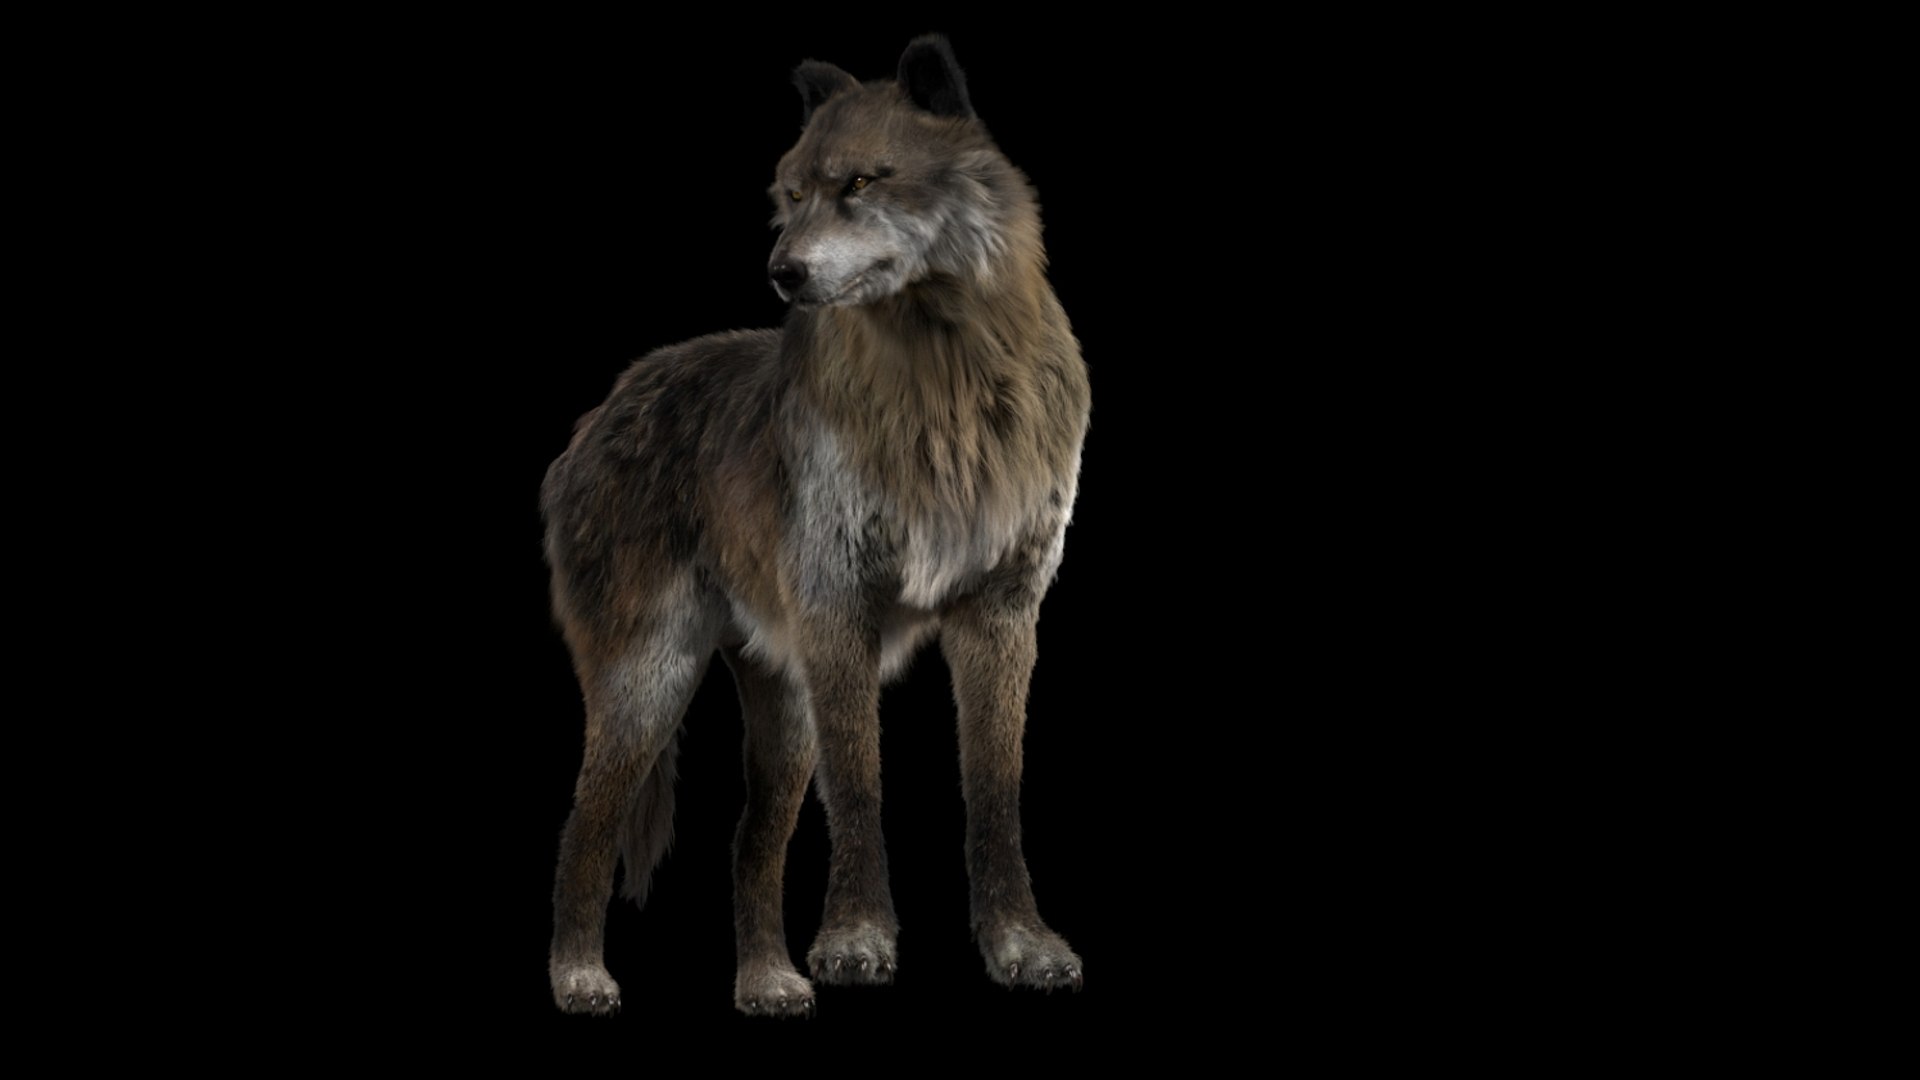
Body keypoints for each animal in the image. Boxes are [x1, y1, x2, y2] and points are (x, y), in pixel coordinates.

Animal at [541, 35, 1089, 1017]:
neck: (943, 382)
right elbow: (862, 786)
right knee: (586, 826)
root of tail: (598, 413)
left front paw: (1023, 946)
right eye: (790, 196)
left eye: (862, 183)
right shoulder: (841, 609)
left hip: (777, 708)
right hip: (651, 680)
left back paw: (767, 982)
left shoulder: (999, 613)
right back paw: (579, 978)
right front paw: (857, 942)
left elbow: (996, 792)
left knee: (749, 846)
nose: (782, 274)